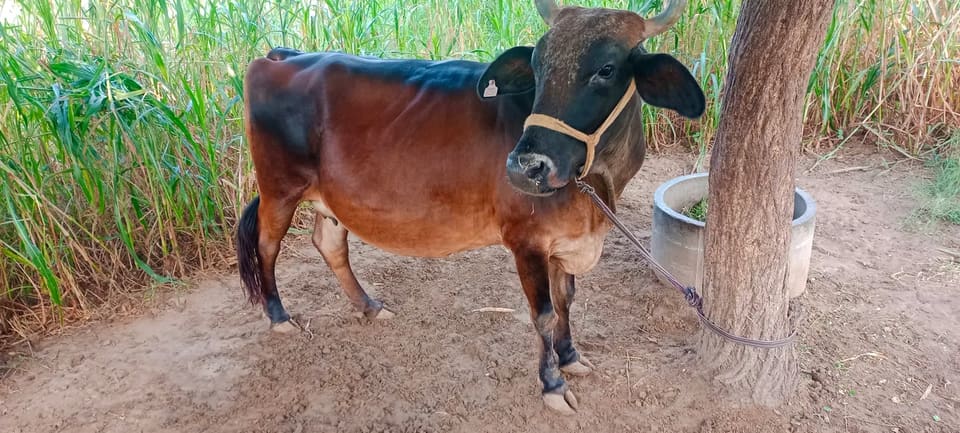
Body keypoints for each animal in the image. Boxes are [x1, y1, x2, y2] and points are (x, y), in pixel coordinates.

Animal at [236, 0, 705, 414]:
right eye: (537, 65)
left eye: (606, 69)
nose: (526, 167)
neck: (597, 186)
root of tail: (281, 57)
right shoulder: (527, 242)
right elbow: (543, 314)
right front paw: (552, 384)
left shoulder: (565, 241)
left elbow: (566, 299)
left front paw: (571, 356)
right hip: (280, 187)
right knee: (267, 245)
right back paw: (279, 316)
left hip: (327, 197)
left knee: (330, 243)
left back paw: (369, 306)